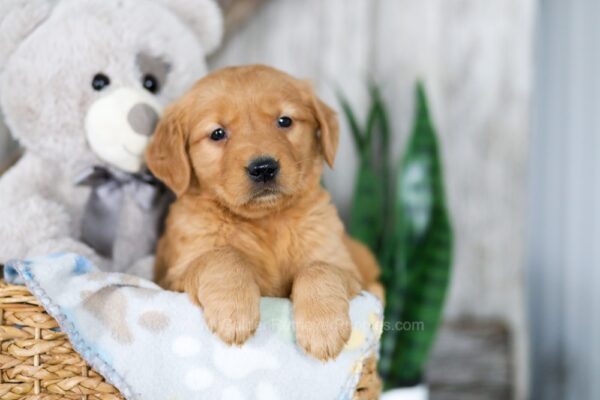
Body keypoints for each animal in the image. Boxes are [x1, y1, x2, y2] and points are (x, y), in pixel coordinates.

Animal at [145, 65, 380, 360]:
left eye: (284, 121)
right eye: (217, 133)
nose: (264, 168)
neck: (266, 221)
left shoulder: (347, 269)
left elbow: (319, 268)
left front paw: (322, 326)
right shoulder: (173, 276)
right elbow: (223, 256)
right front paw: (234, 311)